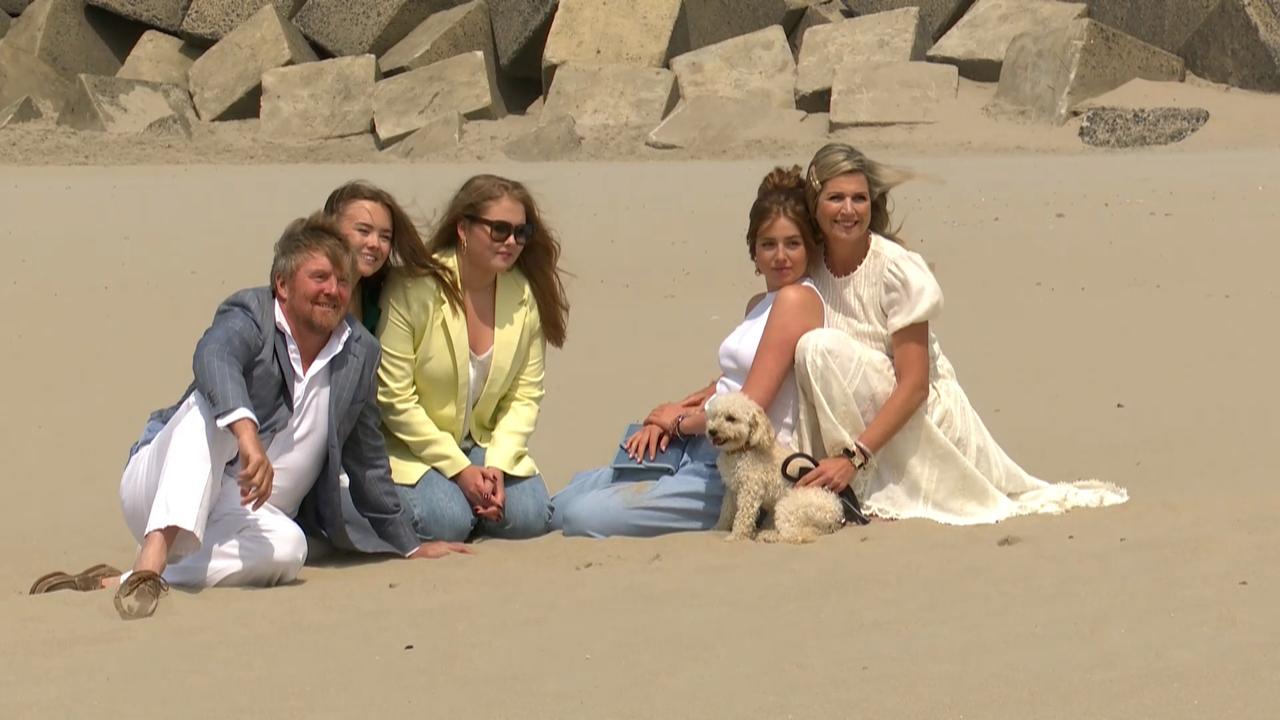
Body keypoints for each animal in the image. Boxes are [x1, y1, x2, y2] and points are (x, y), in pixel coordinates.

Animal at [706, 389, 844, 540]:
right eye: (713, 416)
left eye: (731, 418)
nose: (711, 431)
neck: (742, 450)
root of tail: (836, 514)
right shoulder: (732, 490)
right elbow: (726, 511)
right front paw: (718, 528)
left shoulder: (749, 490)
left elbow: (743, 516)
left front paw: (736, 536)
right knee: (809, 531)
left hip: (788, 505)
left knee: (794, 534)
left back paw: (768, 535)